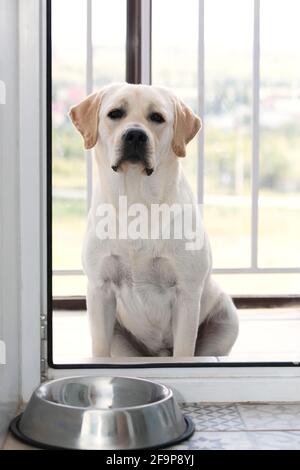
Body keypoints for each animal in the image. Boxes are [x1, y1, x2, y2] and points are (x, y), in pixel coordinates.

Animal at [69, 82, 239, 358]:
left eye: (157, 117)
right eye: (115, 113)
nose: (135, 135)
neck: (137, 202)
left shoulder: (186, 292)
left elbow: (184, 351)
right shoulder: (99, 289)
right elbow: (100, 349)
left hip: (227, 316)